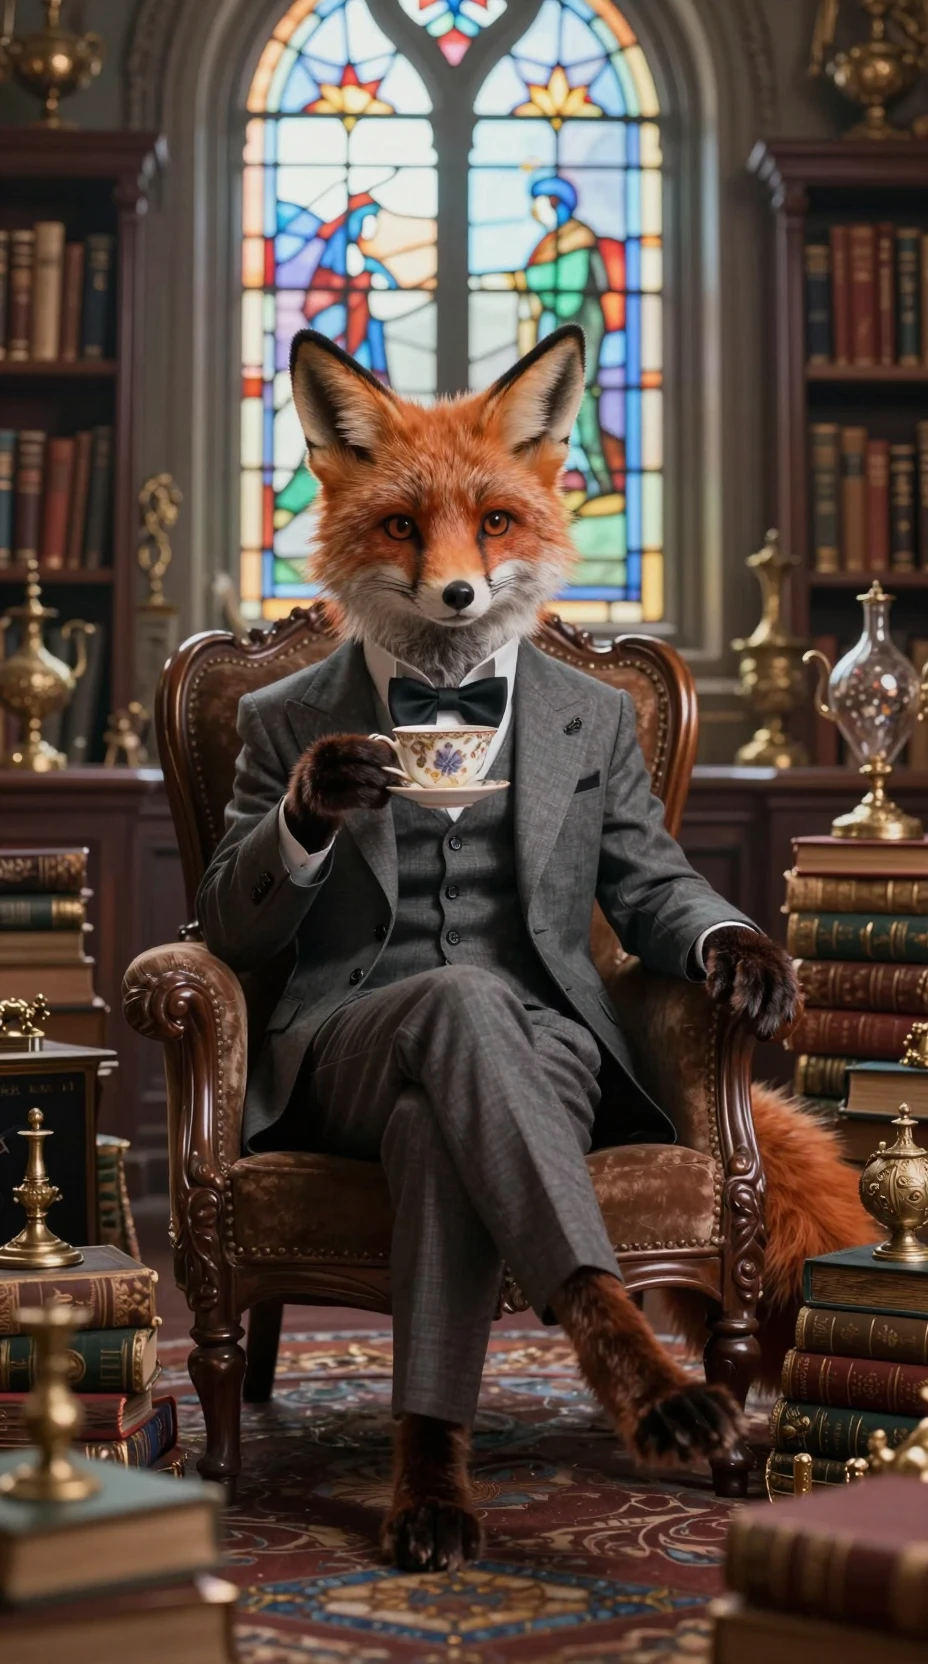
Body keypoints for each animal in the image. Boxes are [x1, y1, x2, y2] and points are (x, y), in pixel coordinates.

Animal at [226, 324, 874, 1573]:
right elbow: (225, 904)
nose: (459, 590)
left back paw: (668, 1400)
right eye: (400, 526)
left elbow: (670, 889)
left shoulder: (628, 816)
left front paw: (747, 962)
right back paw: (437, 1485)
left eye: (494, 519)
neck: (445, 701)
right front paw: (324, 791)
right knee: (451, 1012)